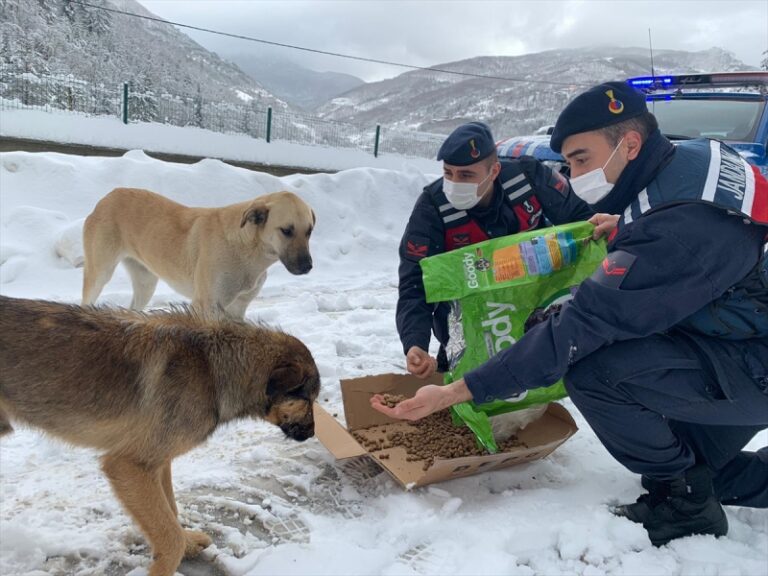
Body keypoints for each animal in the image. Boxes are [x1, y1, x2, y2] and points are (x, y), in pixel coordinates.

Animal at [0, 296, 320, 576]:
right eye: (309, 399)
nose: (314, 433)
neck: (212, 369)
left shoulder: (158, 463)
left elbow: (171, 514)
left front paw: (187, 543)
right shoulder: (129, 466)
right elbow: (169, 535)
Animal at [82, 188, 316, 318]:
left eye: (309, 231)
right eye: (286, 230)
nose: (307, 267)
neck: (246, 248)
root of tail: (107, 197)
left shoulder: (237, 308)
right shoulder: (206, 305)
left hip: (146, 283)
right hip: (99, 274)